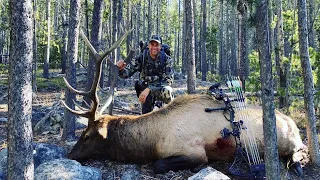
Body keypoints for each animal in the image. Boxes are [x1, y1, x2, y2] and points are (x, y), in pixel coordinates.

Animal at [62, 29, 304, 174]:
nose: (70, 155)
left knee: (298, 152)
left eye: (87, 136)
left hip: (290, 142)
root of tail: (292, 122)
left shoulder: (195, 152)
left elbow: (159, 164)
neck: (151, 141)